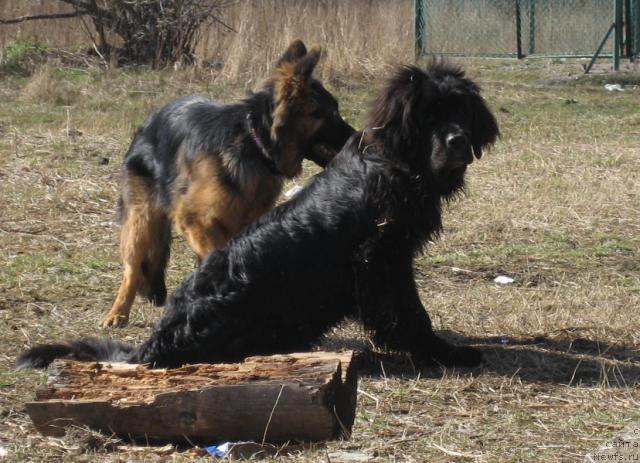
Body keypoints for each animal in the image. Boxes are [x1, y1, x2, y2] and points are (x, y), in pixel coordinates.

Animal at [18, 63, 500, 372]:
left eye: (460, 110)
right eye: (429, 115)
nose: (458, 141)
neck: (393, 165)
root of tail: (152, 344)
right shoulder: (381, 261)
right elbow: (408, 314)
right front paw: (443, 352)